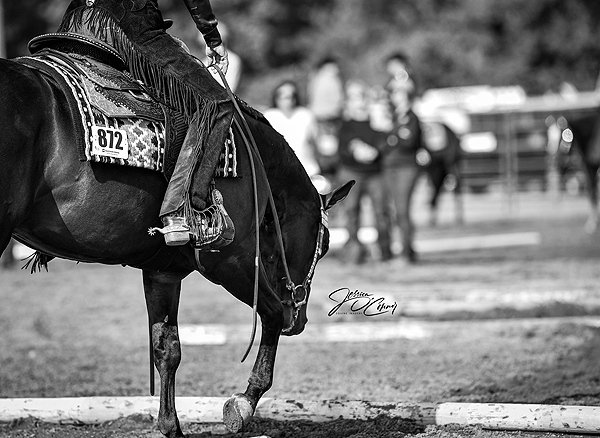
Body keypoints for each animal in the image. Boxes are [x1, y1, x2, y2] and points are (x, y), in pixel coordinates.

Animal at [0, 51, 354, 434]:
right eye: (325, 244)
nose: (299, 320)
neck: (256, 163)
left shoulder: (162, 273)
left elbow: (167, 348)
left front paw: (171, 425)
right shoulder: (230, 261)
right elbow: (270, 313)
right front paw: (244, 403)